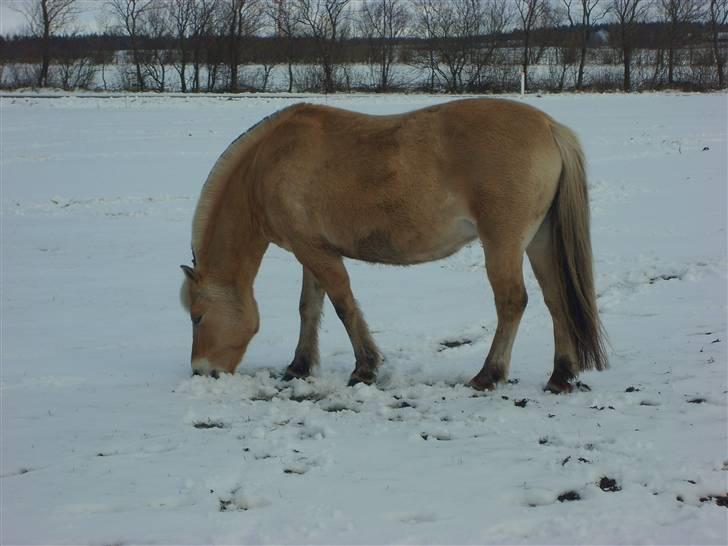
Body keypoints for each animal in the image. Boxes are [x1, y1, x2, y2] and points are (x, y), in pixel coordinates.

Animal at [179, 99, 604, 392]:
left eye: (198, 316)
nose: (201, 370)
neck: (268, 164)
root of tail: (550, 127)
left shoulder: (317, 253)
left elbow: (343, 306)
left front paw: (364, 368)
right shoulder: (311, 252)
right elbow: (309, 309)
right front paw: (299, 366)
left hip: (503, 244)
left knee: (513, 302)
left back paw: (488, 374)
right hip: (540, 242)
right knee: (556, 299)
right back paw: (560, 376)